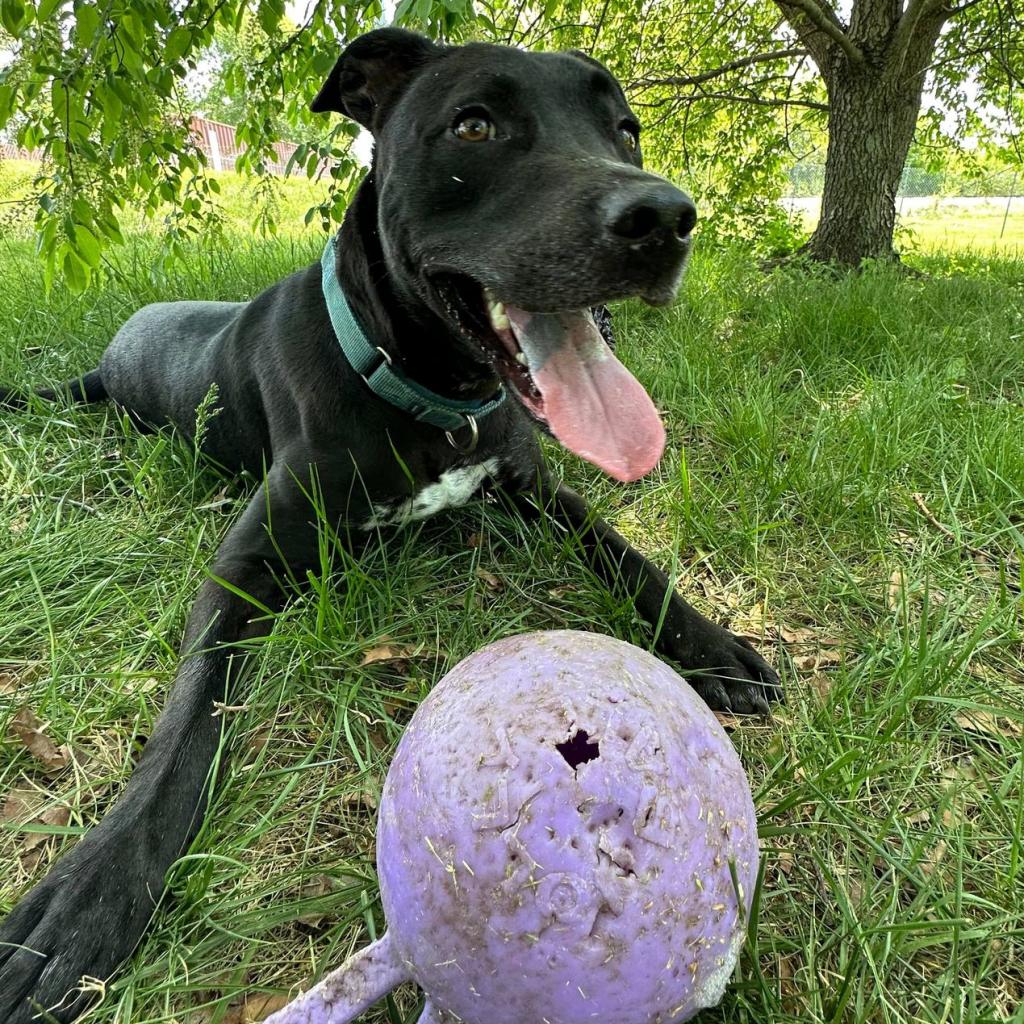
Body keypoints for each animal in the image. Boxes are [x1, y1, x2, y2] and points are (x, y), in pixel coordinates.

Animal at [0, 28, 774, 1019]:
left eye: (625, 128)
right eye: (475, 125)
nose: (664, 218)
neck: (428, 391)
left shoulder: (535, 492)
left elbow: (626, 553)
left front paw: (713, 643)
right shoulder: (243, 564)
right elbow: (188, 717)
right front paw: (89, 893)